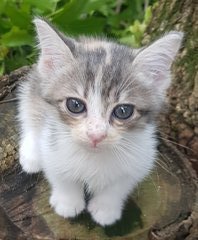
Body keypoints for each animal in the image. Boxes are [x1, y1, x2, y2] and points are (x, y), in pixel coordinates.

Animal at [17, 17, 183, 226]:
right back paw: (31, 155)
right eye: (75, 105)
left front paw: (106, 209)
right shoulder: (53, 143)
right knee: (29, 110)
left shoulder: (141, 156)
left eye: (123, 111)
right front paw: (68, 202)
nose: (96, 135)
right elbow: (60, 174)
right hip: (36, 84)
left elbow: (119, 185)